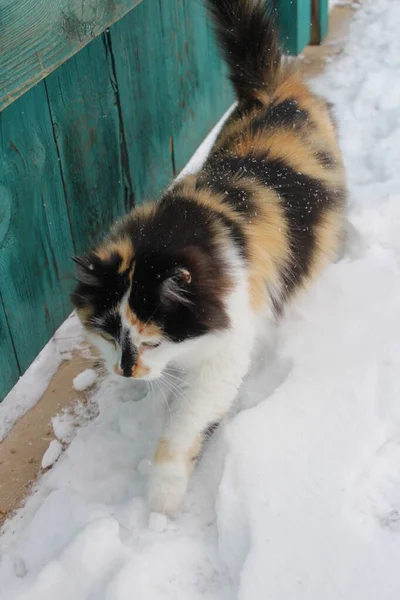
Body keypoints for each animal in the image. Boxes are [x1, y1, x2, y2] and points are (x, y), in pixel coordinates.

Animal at [72, 0, 346, 516]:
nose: (124, 372)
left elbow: (184, 427)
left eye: (152, 340)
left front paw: (161, 501)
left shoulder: (224, 355)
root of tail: (271, 86)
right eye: (111, 335)